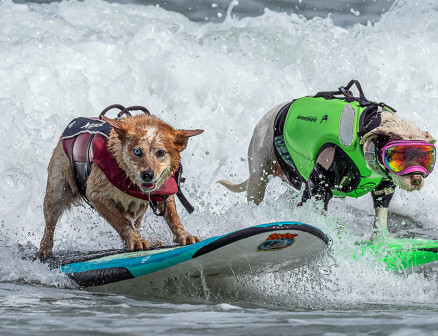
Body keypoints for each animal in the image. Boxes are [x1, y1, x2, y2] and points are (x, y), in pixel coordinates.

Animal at [36, 108, 204, 260]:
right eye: (137, 151)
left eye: (161, 152)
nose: (147, 175)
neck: (129, 178)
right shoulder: (96, 194)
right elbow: (120, 220)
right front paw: (135, 239)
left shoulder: (165, 192)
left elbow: (173, 217)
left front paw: (184, 235)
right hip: (56, 192)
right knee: (50, 224)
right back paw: (44, 250)